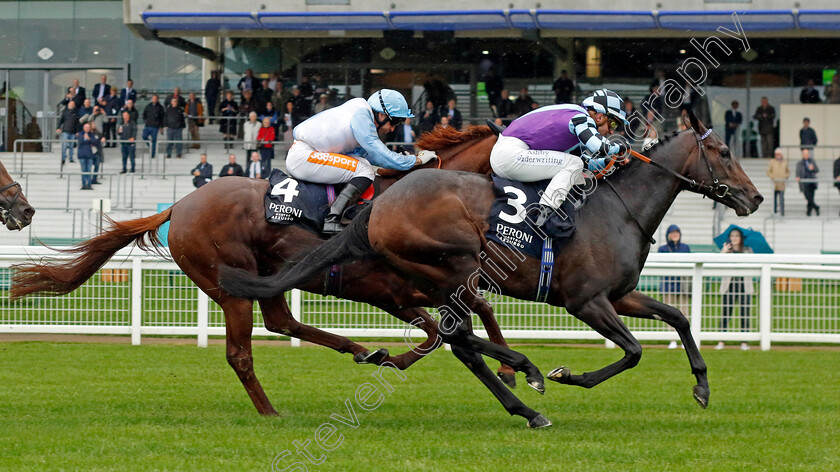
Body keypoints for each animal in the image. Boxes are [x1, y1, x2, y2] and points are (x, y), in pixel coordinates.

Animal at [11, 125, 512, 416]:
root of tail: (179, 205)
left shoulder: (411, 292)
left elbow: (461, 319)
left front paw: (505, 367)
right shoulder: (395, 290)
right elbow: (445, 328)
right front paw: (507, 368)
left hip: (265, 275)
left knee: (281, 321)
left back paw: (357, 348)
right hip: (228, 283)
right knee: (242, 352)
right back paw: (270, 410)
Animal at [220, 109, 764, 426]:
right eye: (723, 152)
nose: (755, 198)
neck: (618, 208)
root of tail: (378, 206)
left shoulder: (620, 295)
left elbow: (679, 318)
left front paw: (701, 386)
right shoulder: (587, 301)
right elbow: (631, 352)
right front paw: (567, 375)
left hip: (429, 278)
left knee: (457, 338)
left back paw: (523, 398)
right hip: (453, 262)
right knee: (459, 333)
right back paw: (527, 373)